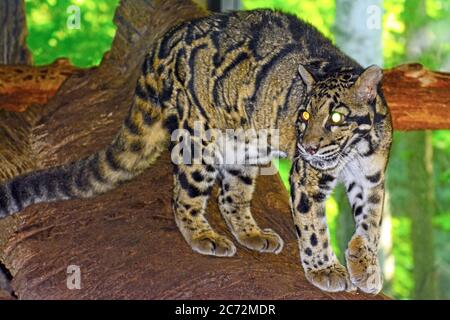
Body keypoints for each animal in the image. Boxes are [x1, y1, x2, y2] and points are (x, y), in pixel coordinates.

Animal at [0, 10, 390, 294]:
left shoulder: (371, 178)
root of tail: (167, 38)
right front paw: (325, 269)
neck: (355, 150)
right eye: (305, 116)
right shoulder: (308, 178)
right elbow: (313, 229)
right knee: (183, 197)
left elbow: (371, 222)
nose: (307, 145)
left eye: (336, 117)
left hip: (244, 146)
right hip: (198, 140)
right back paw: (203, 236)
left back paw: (251, 234)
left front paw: (364, 264)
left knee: (230, 197)